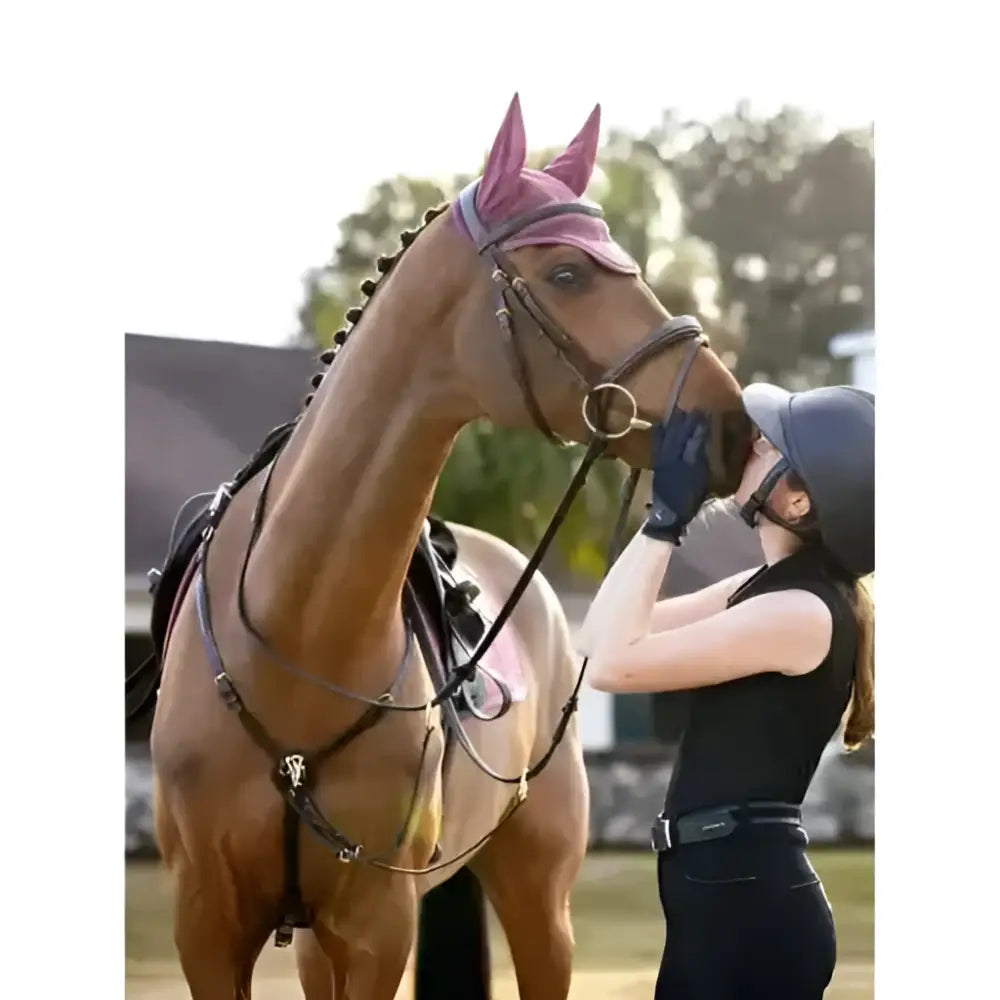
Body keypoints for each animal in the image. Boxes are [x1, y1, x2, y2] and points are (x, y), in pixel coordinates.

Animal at [143, 93, 751, 1000]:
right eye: (566, 274)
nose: (732, 427)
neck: (296, 635)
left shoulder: (377, 926)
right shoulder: (209, 931)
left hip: (538, 898)